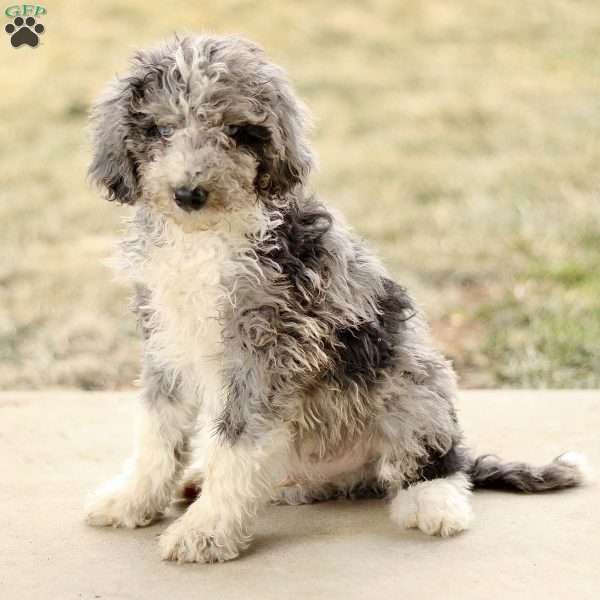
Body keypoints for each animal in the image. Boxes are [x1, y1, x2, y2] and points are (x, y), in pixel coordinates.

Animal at [85, 35, 592, 564]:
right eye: (160, 128)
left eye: (238, 131)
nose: (189, 193)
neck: (203, 239)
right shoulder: (165, 337)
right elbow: (156, 431)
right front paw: (132, 500)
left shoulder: (263, 351)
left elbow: (236, 445)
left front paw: (205, 531)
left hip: (413, 376)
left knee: (437, 460)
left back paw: (434, 504)